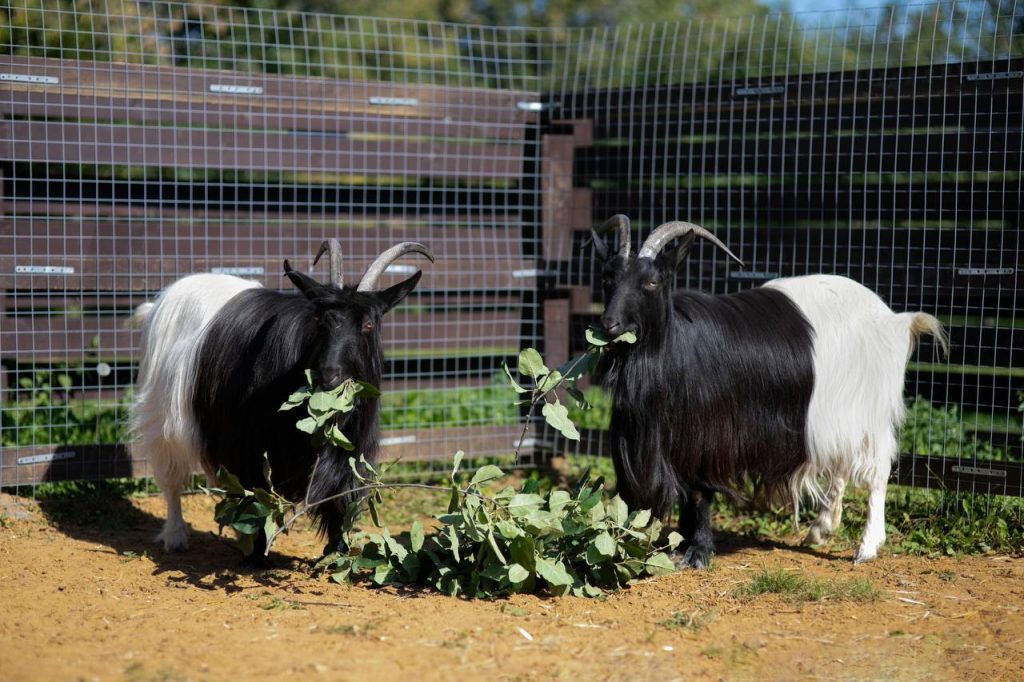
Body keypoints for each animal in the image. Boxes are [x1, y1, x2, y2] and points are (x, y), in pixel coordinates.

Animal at [130, 241, 430, 557]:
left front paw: (338, 553)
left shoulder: (349, 451)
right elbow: (256, 497)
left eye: (369, 324)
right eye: (319, 320)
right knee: (170, 477)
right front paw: (255, 552)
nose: (329, 375)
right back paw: (175, 536)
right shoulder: (248, 443)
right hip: (160, 413)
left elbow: (340, 498)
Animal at [598, 216, 946, 561]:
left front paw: (698, 550)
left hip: (868, 408)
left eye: (651, 282)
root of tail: (893, 319)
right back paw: (820, 529)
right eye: (608, 279)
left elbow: (698, 493)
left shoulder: (710, 437)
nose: (609, 324)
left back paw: (867, 547)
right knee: (840, 465)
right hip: (832, 415)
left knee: (877, 468)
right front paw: (681, 543)